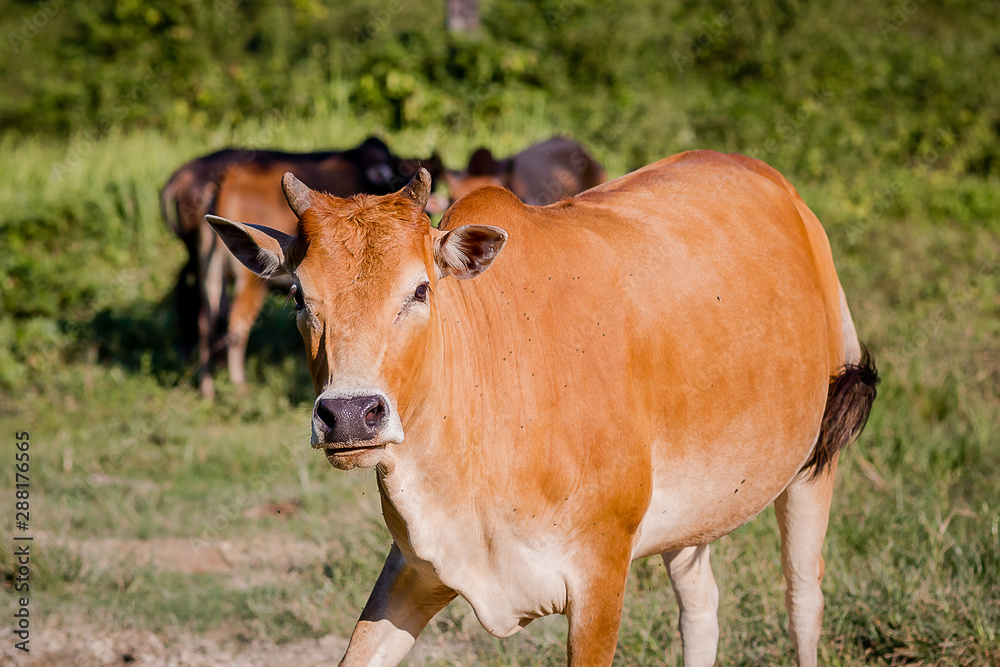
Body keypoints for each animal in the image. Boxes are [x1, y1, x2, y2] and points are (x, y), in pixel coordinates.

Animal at [160, 136, 442, 396]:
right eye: (298, 297)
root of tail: (226, 181)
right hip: (248, 283)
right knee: (235, 325)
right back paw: (238, 385)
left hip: (209, 275)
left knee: (204, 320)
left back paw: (207, 388)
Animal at [209, 151, 876, 667]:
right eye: (299, 295)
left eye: (420, 289)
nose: (349, 414)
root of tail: (780, 188)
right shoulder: (412, 569)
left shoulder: (600, 578)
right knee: (701, 607)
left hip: (814, 460)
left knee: (803, 598)